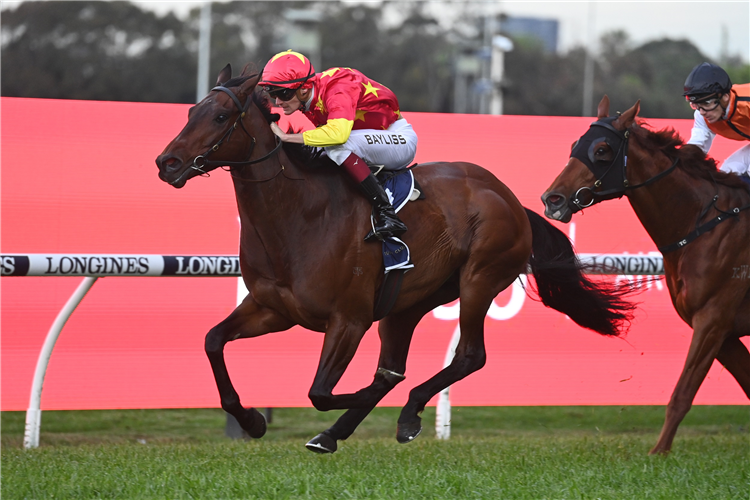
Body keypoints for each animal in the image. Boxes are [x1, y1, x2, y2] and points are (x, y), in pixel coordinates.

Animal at [156, 66, 636, 454]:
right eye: (190, 113)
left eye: (220, 117)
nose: (167, 162)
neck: (299, 215)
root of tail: (510, 198)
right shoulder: (273, 309)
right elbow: (213, 341)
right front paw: (253, 421)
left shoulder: (348, 319)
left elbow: (322, 392)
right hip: (408, 302)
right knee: (396, 367)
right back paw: (341, 432)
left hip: (479, 279)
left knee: (466, 357)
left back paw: (403, 415)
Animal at [544, 95, 748, 456]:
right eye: (574, 145)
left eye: (602, 150)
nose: (552, 200)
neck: (703, 223)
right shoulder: (724, 332)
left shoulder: (713, 320)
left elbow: (682, 394)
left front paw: (658, 453)